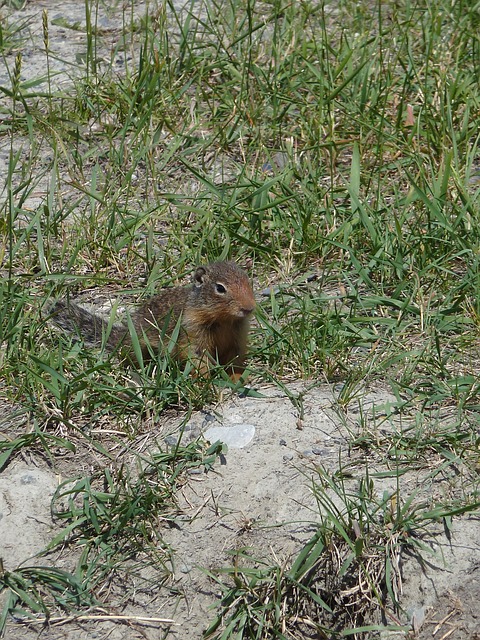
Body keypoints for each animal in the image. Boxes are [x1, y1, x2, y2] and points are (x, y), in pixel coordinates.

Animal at [50, 260, 256, 380]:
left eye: (248, 280)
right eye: (220, 288)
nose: (249, 308)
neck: (224, 320)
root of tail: (122, 337)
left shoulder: (237, 338)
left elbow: (235, 360)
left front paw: (238, 377)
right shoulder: (193, 332)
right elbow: (197, 358)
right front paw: (205, 381)